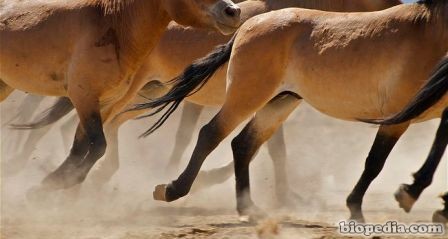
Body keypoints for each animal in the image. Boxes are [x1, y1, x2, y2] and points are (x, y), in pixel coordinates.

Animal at [0, 0, 242, 193]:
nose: (233, 11)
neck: (114, 24)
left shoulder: (104, 103)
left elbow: (81, 147)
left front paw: (48, 185)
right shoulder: (83, 97)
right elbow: (97, 145)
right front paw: (53, 185)